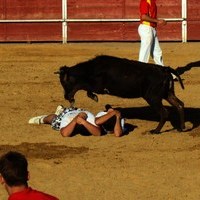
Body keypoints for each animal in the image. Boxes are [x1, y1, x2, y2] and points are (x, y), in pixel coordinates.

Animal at [54, 54, 185, 134]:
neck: (91, 70)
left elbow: (86, 88)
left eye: (64, 82)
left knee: (164, 112)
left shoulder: (97, 86)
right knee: (179, 105)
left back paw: (156, 131)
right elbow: (86, 89)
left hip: (153, 98)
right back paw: (182, 128)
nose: (66, 96)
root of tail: (164, 69)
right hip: (167, 94)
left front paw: (94, 97)